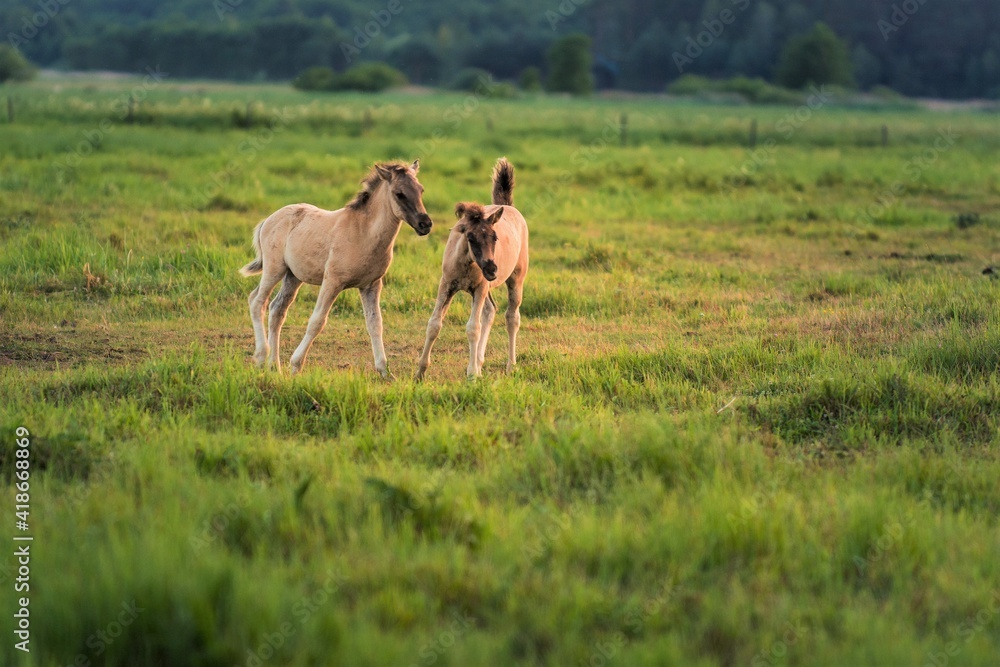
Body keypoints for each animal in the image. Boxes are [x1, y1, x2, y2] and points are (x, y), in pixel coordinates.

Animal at [239, 160, 432, 377]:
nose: (425, 224)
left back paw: (274, 365)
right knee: (257, 301)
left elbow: (375, 324)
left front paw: (385, 372)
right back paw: (261, 356)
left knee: (277, 310)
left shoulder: (371, 285)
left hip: (293, 276)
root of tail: (269, 219)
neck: (363, 232)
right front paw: (295, 365)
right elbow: (317, 321)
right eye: (399, 194)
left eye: (421, 190)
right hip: (274, 269)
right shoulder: (332, 281)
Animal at [416, 158, 528, 379]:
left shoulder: (480, 287)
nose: (492, 269)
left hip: (515, 279)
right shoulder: (447, 285)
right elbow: (434, 324)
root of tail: (507, 206)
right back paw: (480, 361)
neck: (465, 263)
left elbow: (472, 328)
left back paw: (510, 366)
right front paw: (420, 372)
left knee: (511, 317)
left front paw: (472, 375)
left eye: (495, 237)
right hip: (486, 288)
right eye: (470, 237)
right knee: (490, 310)